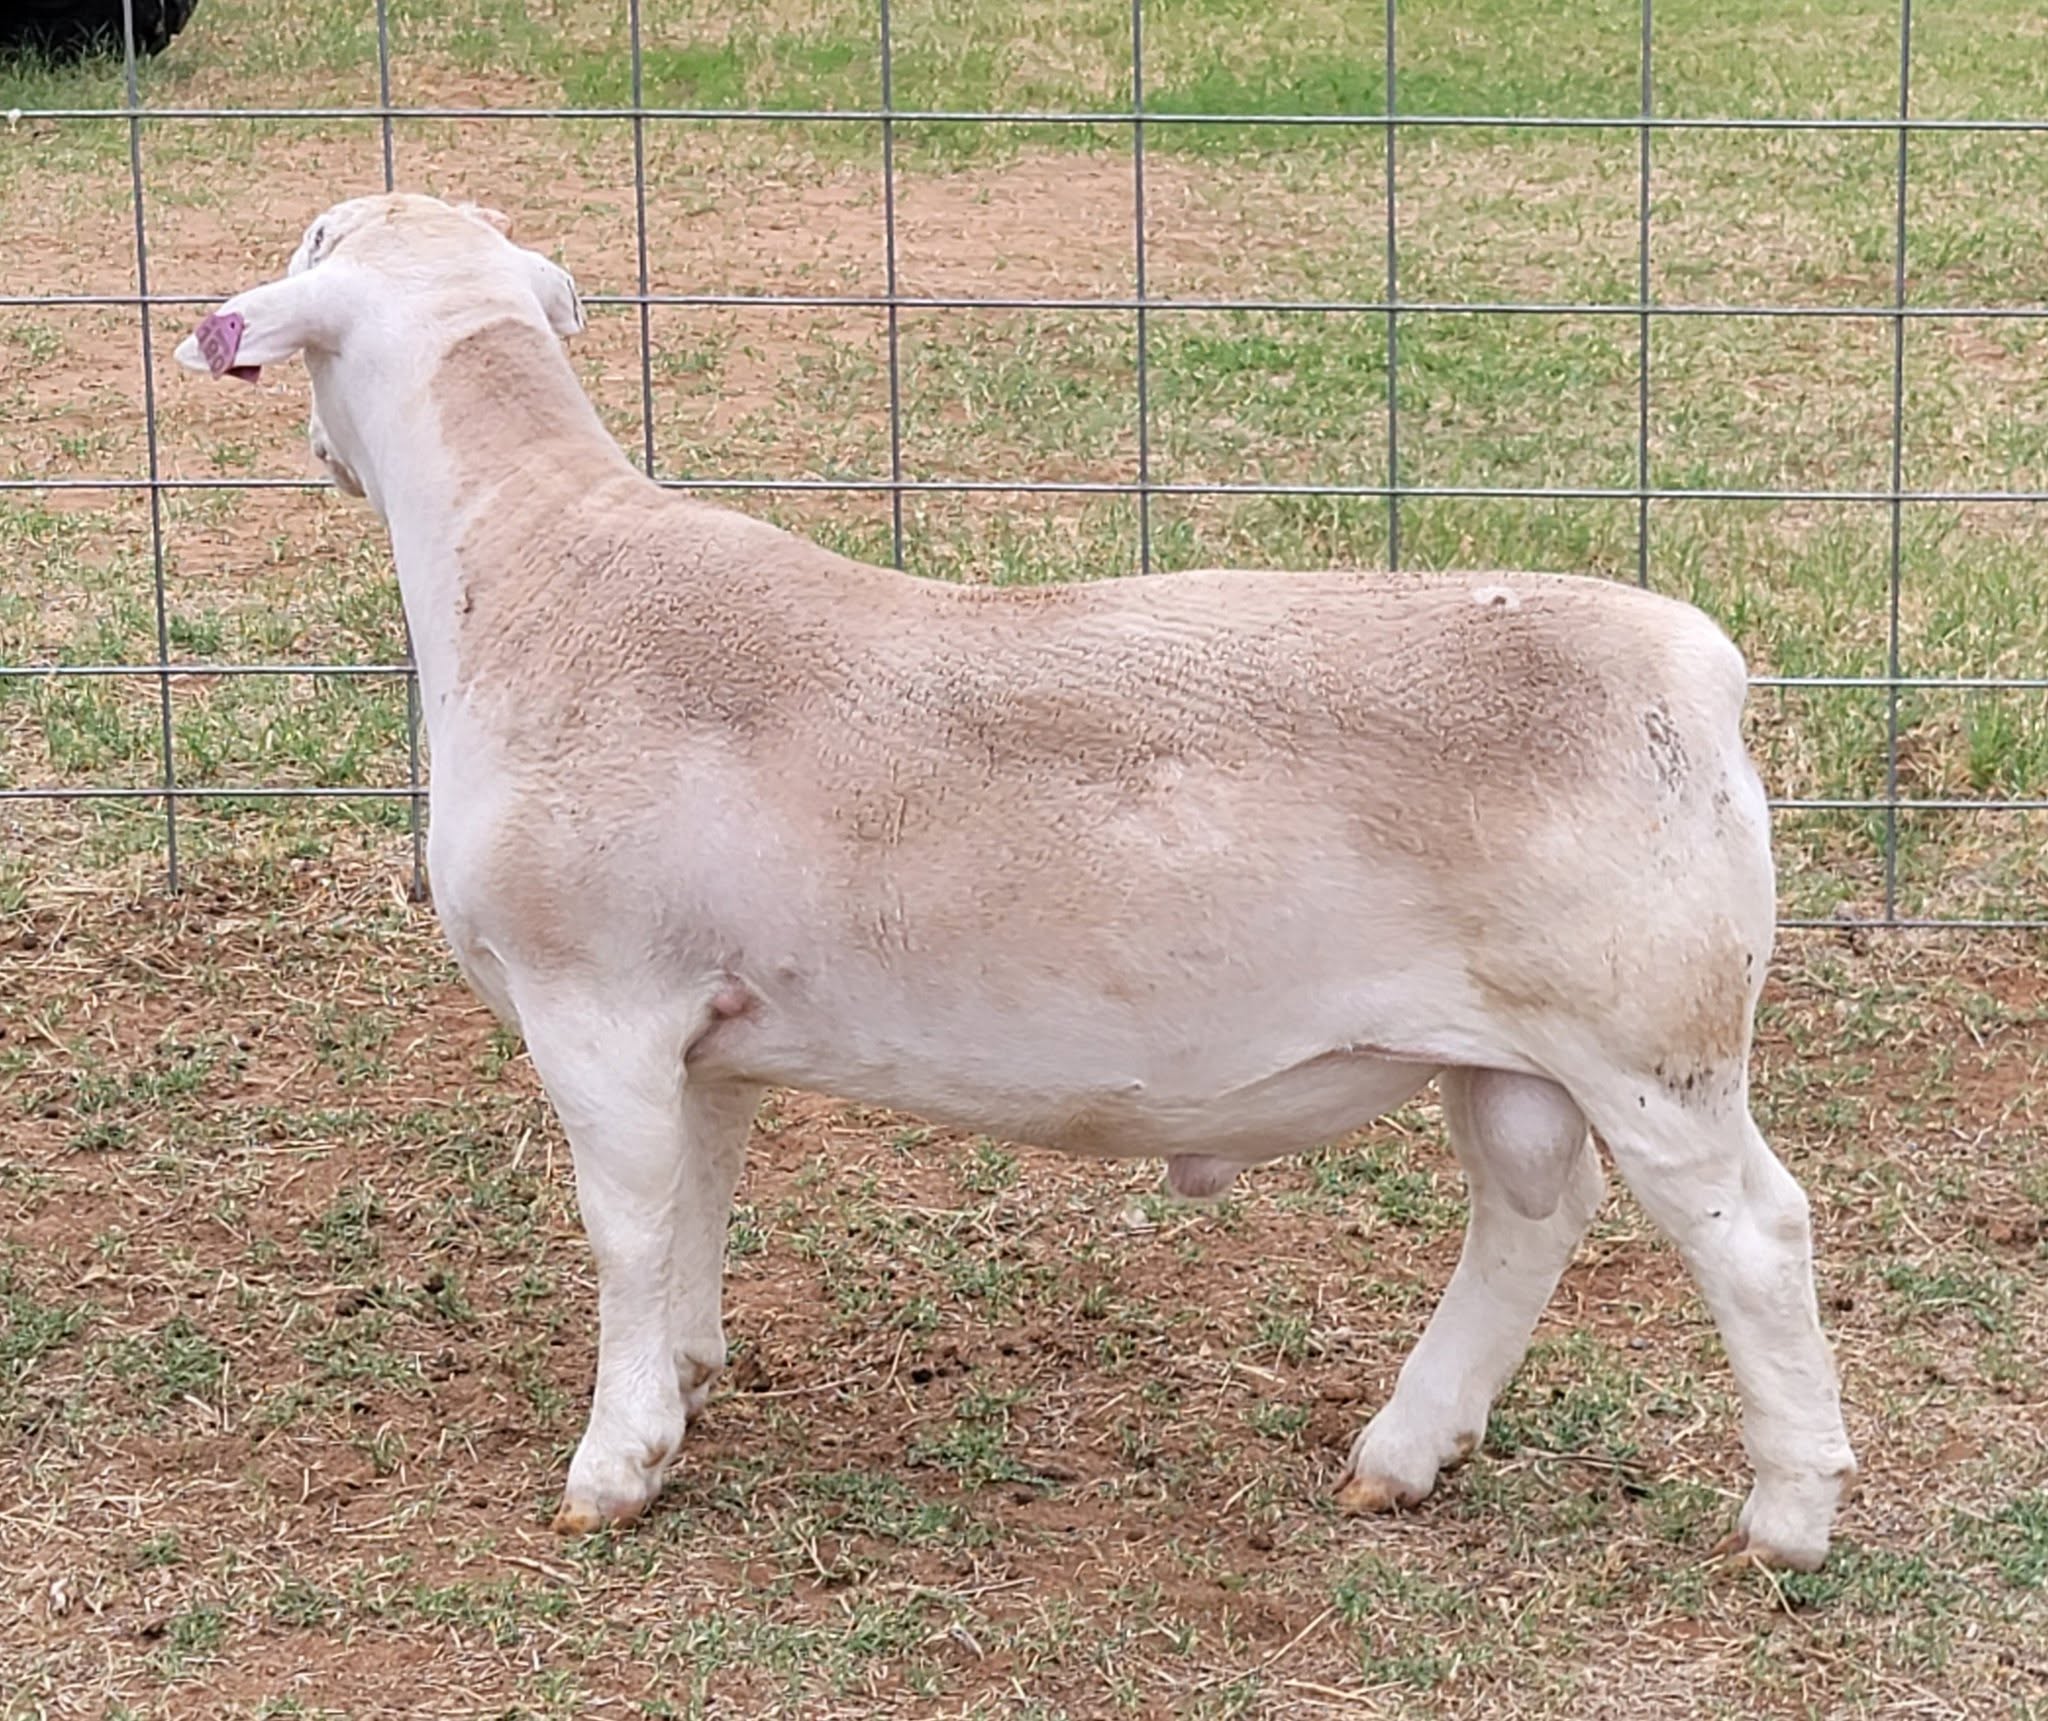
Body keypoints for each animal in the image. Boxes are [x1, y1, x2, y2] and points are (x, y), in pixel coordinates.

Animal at [176, 193, 1856, 1569]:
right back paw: (1402, 1452)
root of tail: (1694, 666)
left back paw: (1786, 1518)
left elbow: (625, 1228)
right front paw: (696, 1375)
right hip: (1509, 1047)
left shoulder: (594, 998)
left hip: (1652, 1032)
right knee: (1529, 1213)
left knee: (1756, 1238)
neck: (545, 565)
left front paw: (615, 1463)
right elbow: (697, 1203)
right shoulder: (704, 1024)